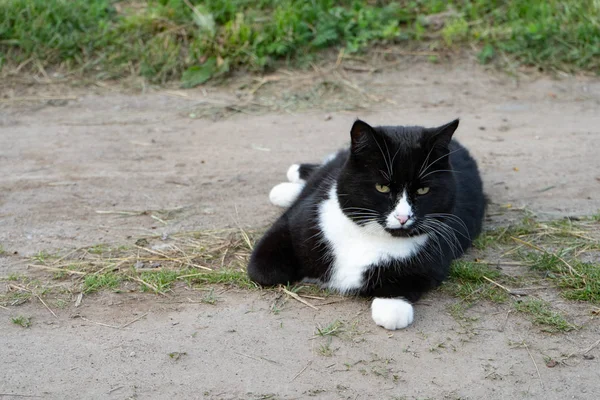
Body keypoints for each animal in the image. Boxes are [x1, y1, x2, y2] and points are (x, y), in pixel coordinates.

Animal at [246, 119, 486, 332]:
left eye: (423, 190)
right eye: (382, 187)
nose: (403, 217)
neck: (368, 234)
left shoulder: (435, 256)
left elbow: (403, 291)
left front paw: (392, 305)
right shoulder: (301, 221)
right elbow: (263, 271)